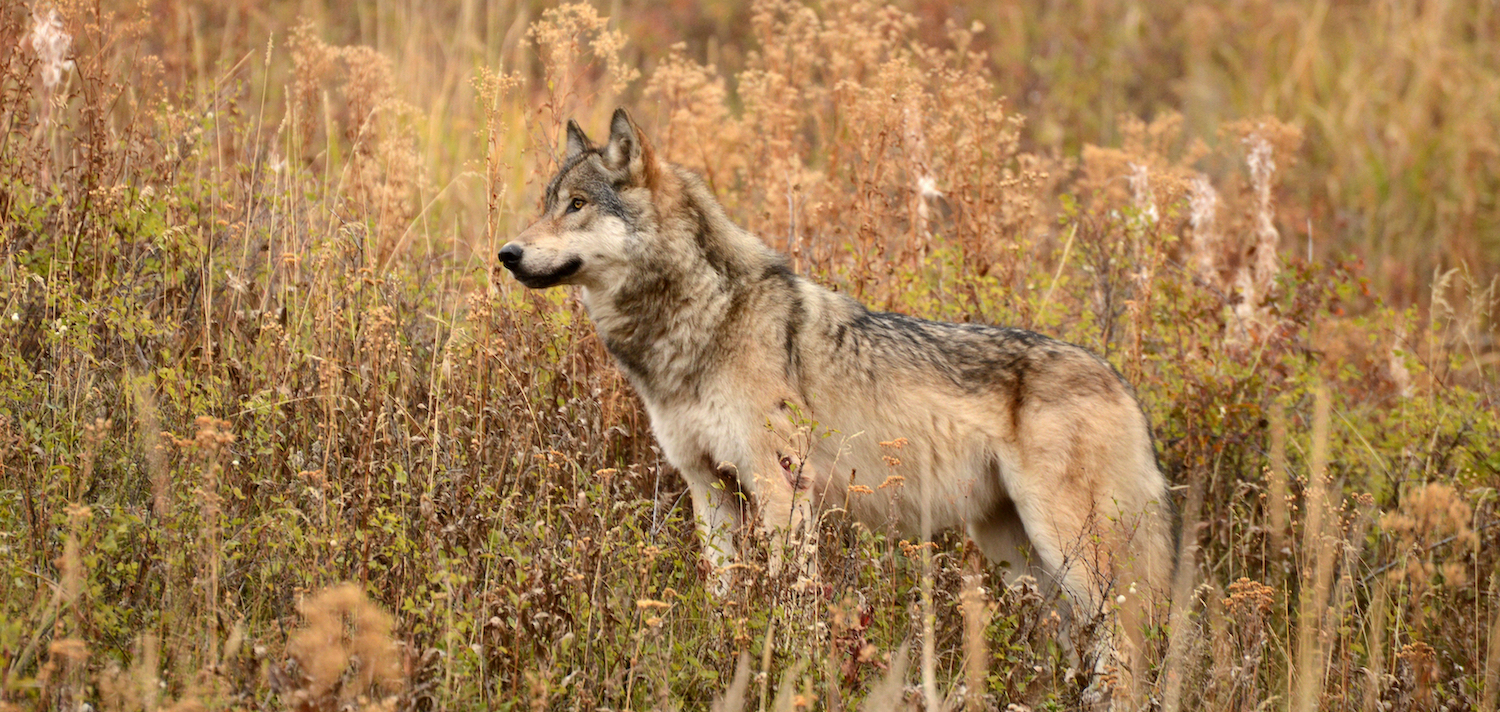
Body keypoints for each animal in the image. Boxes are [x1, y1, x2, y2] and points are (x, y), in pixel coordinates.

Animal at [499, 108, 1174, 685]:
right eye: (546, 206)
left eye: (578, 205)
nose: (506, 253)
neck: (702, 320)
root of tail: (1125, 387)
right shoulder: (708, 489)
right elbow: (722, 598)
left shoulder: (781, 488)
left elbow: (792, 605)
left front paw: (787, 670)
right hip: (1019, 558)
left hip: (1073, 554)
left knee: (1127, 650)